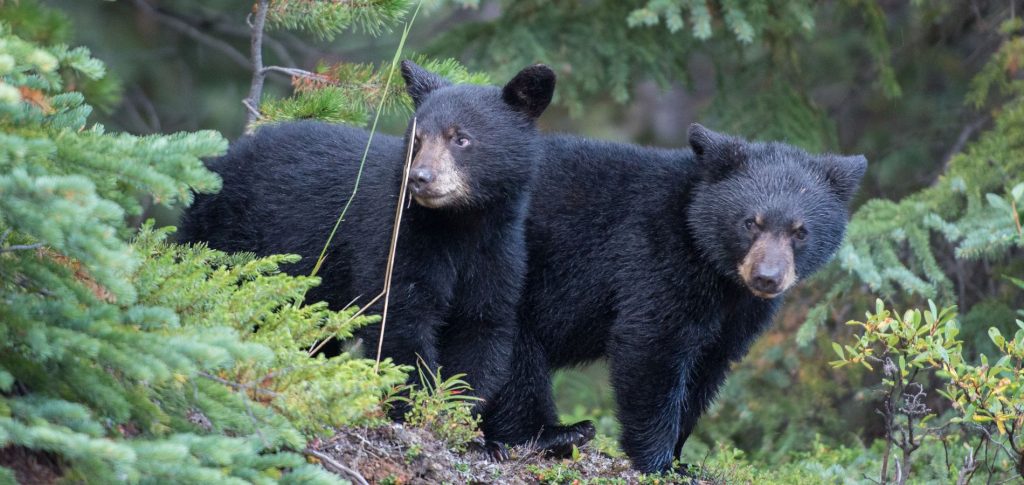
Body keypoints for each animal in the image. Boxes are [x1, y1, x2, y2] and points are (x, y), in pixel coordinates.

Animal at [180, 58, 557, 411]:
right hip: (222, 236)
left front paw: (454, 407)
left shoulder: (498, 251)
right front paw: (415, 403)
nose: (420, 177)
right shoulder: (396, 237)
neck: (459, 224)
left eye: (461, 138)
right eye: (417, 139)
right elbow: (399, 317)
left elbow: (482, 325)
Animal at [483, 123, 868, 472]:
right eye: (750, 223)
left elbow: (708, 366)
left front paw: (683, 456)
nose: (767, 277)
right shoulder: (656, 253)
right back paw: (555, 434)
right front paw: (660, 460)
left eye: (800, 231)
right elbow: (653, 343)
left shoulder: (741, 311)